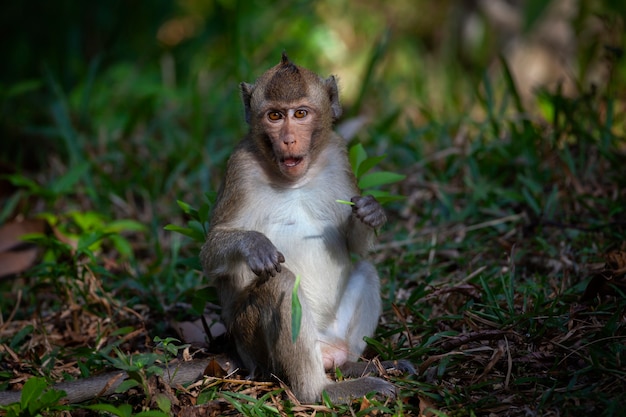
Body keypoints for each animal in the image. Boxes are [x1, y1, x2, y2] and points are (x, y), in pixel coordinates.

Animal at [197, 52, 412, 404]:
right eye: (274, 116)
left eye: (300, 114)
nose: (288, 139)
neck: (295, 180)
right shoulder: (239, 168)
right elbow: (210, 253)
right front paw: (254, 245)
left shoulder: (338, 155)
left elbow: (354, 247)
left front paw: (370, 212)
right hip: (253, 344)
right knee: (280, 285)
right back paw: (322, 391)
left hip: (333, 331)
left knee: (366, 269)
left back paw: (354, 365)